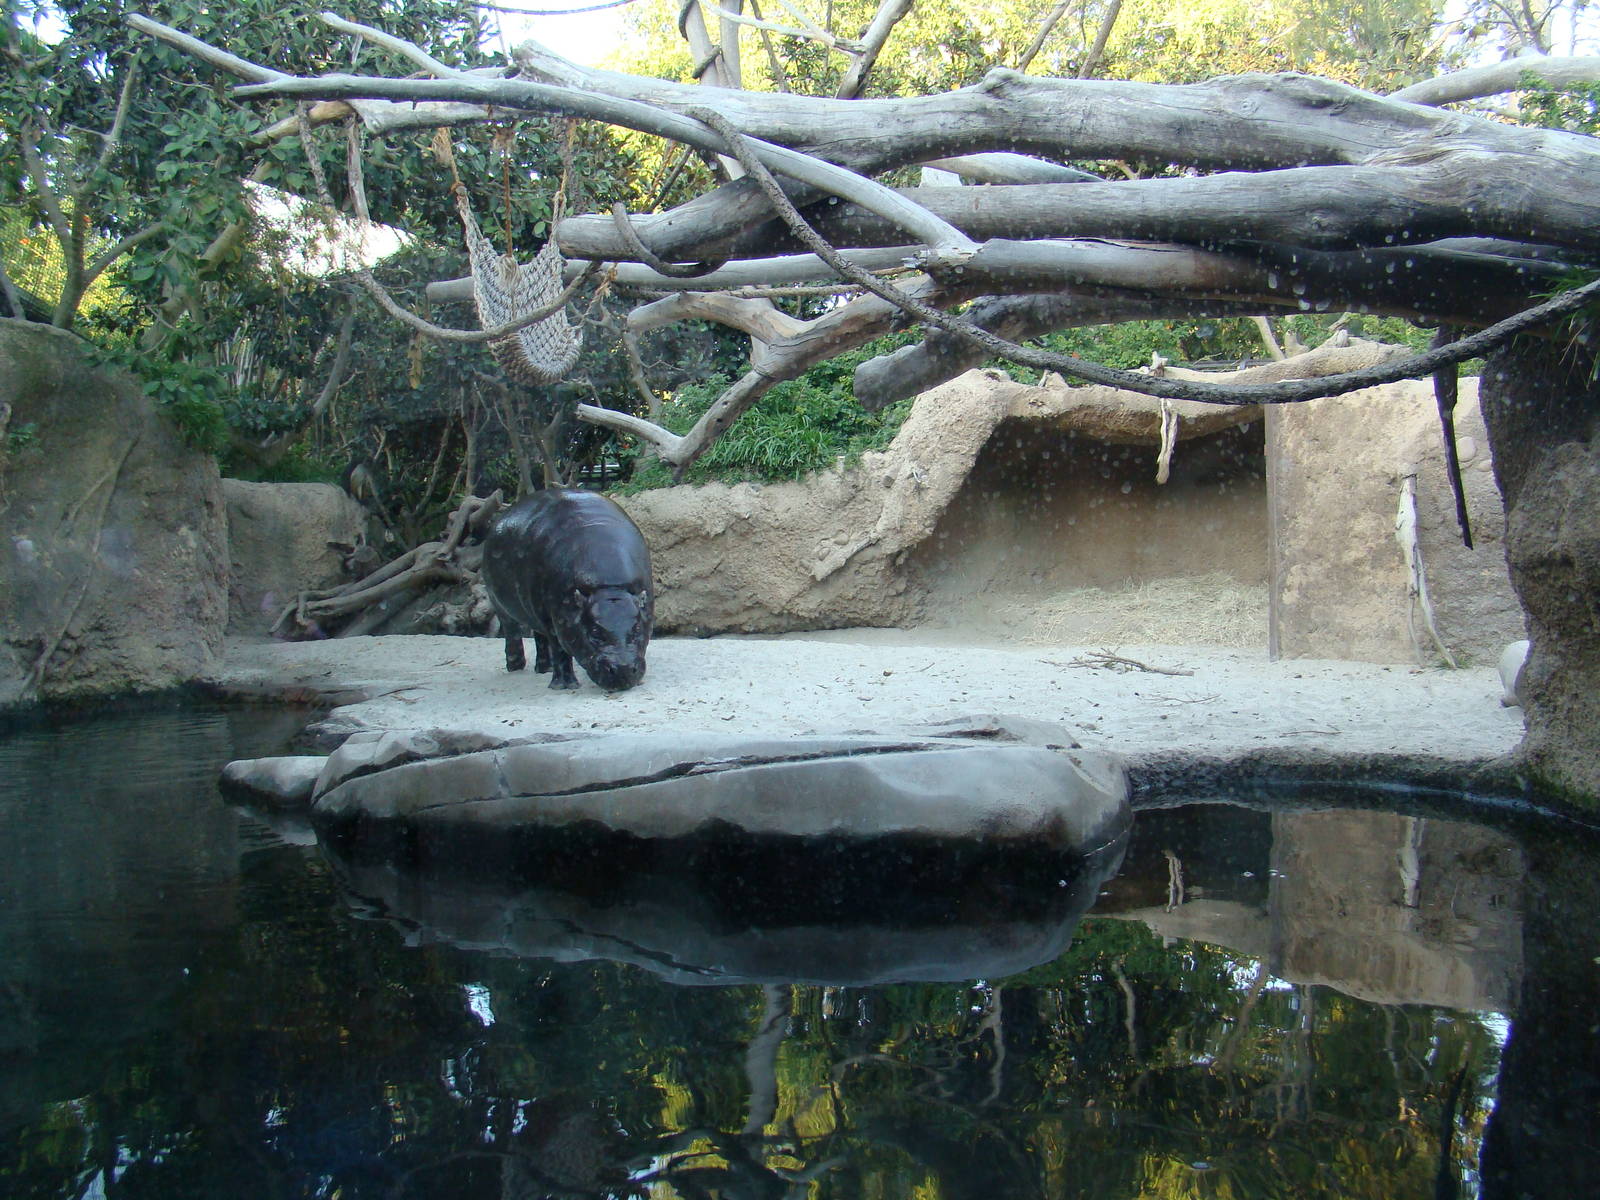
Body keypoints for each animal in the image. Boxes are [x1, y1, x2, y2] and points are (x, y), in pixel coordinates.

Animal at [480, 488, 654, 691]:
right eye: (595, 631)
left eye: (637, 627)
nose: (623, 669)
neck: (609, 587)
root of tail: (501, 518)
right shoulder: (554, 619)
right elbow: (559, 649)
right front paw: (564, 686)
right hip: (500, 604)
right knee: (512, 632)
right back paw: (516, 667)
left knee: (539, 637)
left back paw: (543, 669)